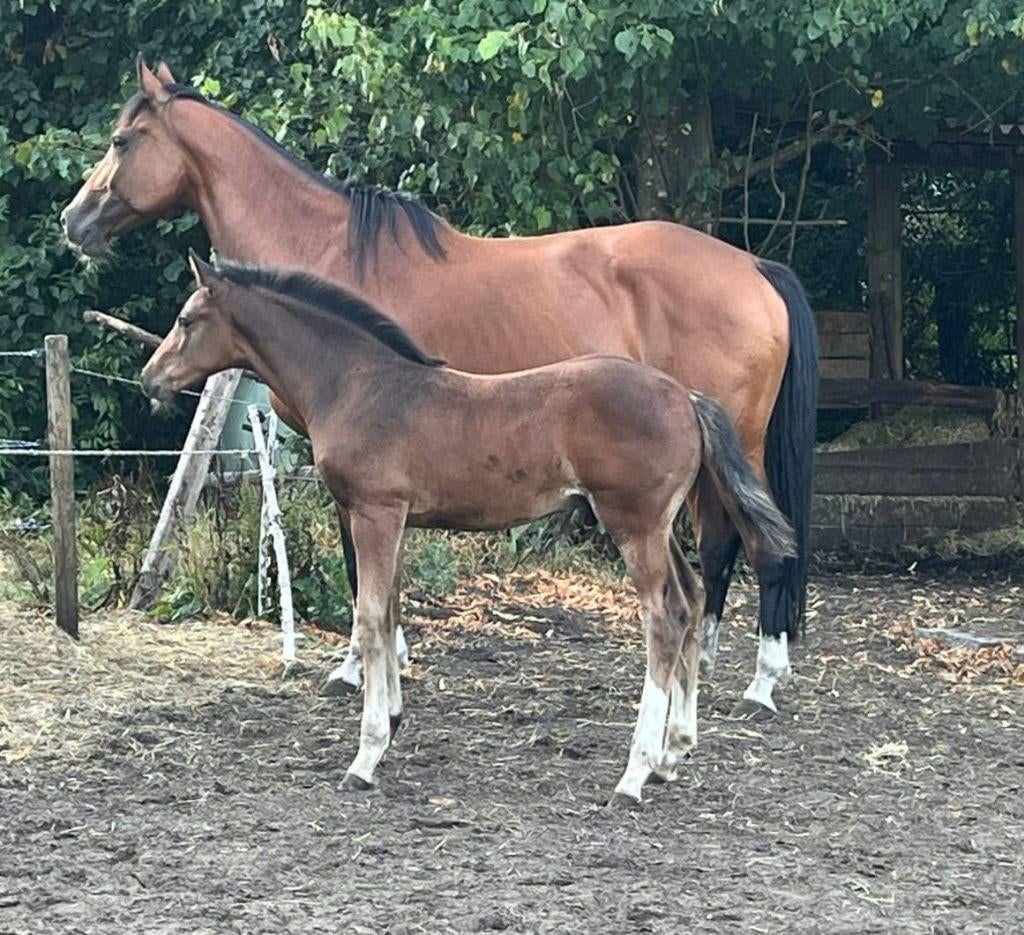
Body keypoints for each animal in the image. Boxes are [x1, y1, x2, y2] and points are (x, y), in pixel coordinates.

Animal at [63, 57, 818, 718]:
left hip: (741, 444)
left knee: (754, 543)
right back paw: (707, 664)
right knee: (720, 546)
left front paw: (360, 666)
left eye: (121, 140)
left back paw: (760, 681)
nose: (74, 222)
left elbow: (358, 564)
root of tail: (754, 265)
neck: (327, 250)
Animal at [139, 250, 796, 802]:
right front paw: (393, 723)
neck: (357, 383)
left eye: (186, 319)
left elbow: (369, 619)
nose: (150, 378)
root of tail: (686, 397)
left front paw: (366, 756)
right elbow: (391, 612)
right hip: (657, 525)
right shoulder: (397, 519)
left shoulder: (376, 512)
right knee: (692, 596)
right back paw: (672, 753)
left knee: (666, 616)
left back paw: (634, 774)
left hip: (632, 522)